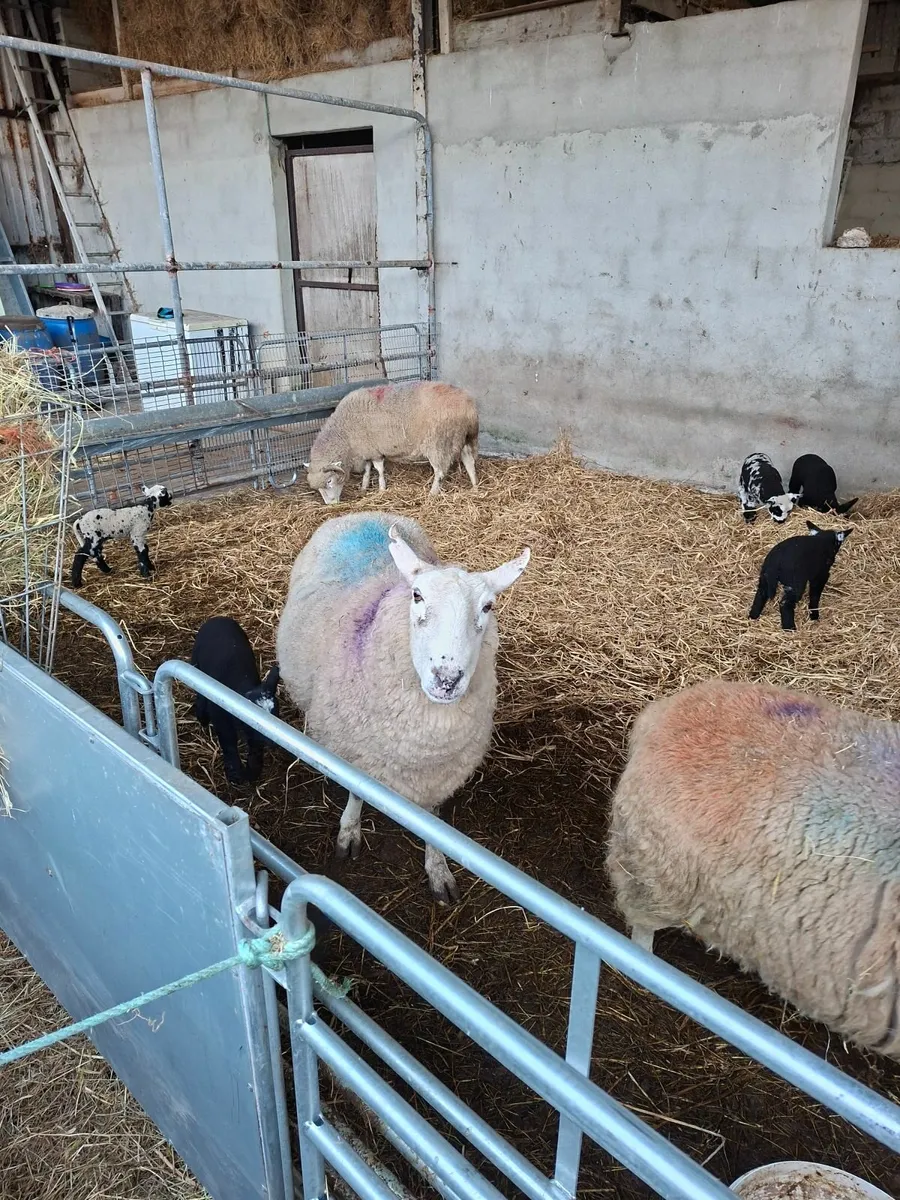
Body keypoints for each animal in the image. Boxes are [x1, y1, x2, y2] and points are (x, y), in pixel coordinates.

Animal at [190, 617, 280, 784]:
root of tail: (218, 618)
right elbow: (229, 745)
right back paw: (202, 716)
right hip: (196, 662)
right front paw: (234, 774)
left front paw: (252, 772)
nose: (274, 742)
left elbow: (255, 751)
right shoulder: (221, 719)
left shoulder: (253, 736)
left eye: (276, 713)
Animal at [275, 511, 529, 902]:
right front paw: (349, 831)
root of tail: (367, 513)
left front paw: (437, 868)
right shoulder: (354, 752)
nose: (447, 679)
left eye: (488, 606)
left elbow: (434, 824)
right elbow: (355, 793)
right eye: (417, 595)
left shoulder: (440, 775)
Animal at [306, 381, 479, 505]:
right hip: (463, 437)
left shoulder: (374, 451)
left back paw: (432, 494)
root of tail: (468, 406)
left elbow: (379, 469)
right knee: (469, 461)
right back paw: (475, 485)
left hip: (439, 443)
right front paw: (364, 486)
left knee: (440, 472)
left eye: (329, 481)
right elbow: (367, 470)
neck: (343, 433)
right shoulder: (366, 449)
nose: (331, 504)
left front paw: (382, 489)